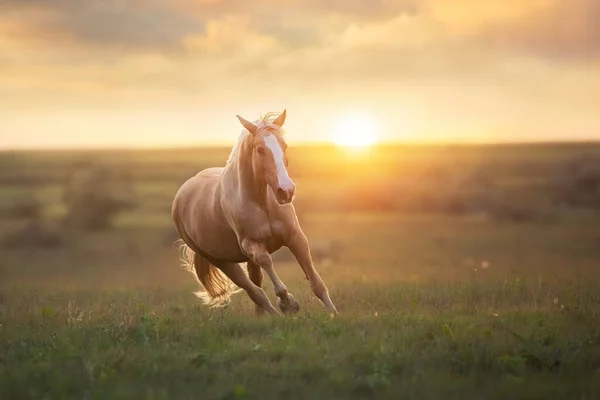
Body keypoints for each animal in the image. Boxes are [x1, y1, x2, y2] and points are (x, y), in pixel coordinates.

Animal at [172, 108, 338, 316]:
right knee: (255, 292)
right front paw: (287, 302)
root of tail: (181, 195)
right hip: (222, 261)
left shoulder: (296, 237)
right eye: (259, 149)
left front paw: (334, 314)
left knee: (257, 289)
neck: (261, 201)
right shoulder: (252, 245)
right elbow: (267, 264)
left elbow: (317, 283)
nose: (286, 191)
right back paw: (277, 315)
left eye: (284, 145)